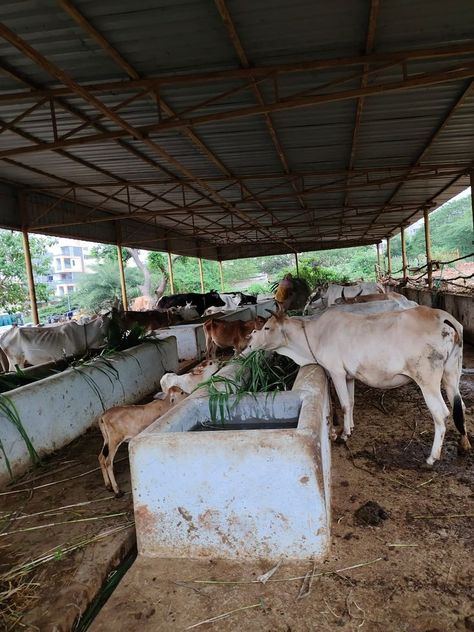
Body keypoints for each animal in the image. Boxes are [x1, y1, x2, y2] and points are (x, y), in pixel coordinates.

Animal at [244, 306, 470, 464]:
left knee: (441, 414)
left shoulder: (336, 372)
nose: (249, 344)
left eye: (267, 327)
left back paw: (432, 458)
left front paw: (343, 435)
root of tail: (442, 316)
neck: (313, 336)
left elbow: (344, 404)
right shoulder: (349, 376)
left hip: (427, 379)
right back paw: (464, 445)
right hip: (452, 373)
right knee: (459, 406)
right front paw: (350, 427)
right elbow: (351, 402)